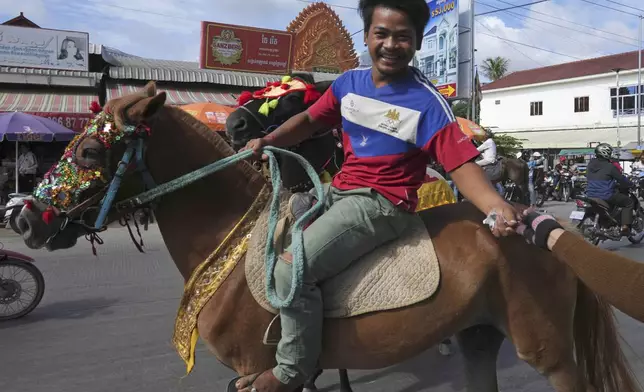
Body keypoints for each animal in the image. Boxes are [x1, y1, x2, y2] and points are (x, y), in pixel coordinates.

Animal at [15, 81, 644, 390]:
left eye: (89, 152)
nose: (25, 218)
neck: (231, 242)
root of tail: (541, 226)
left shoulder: (258, 372)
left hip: (550, 352)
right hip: (480, 336)